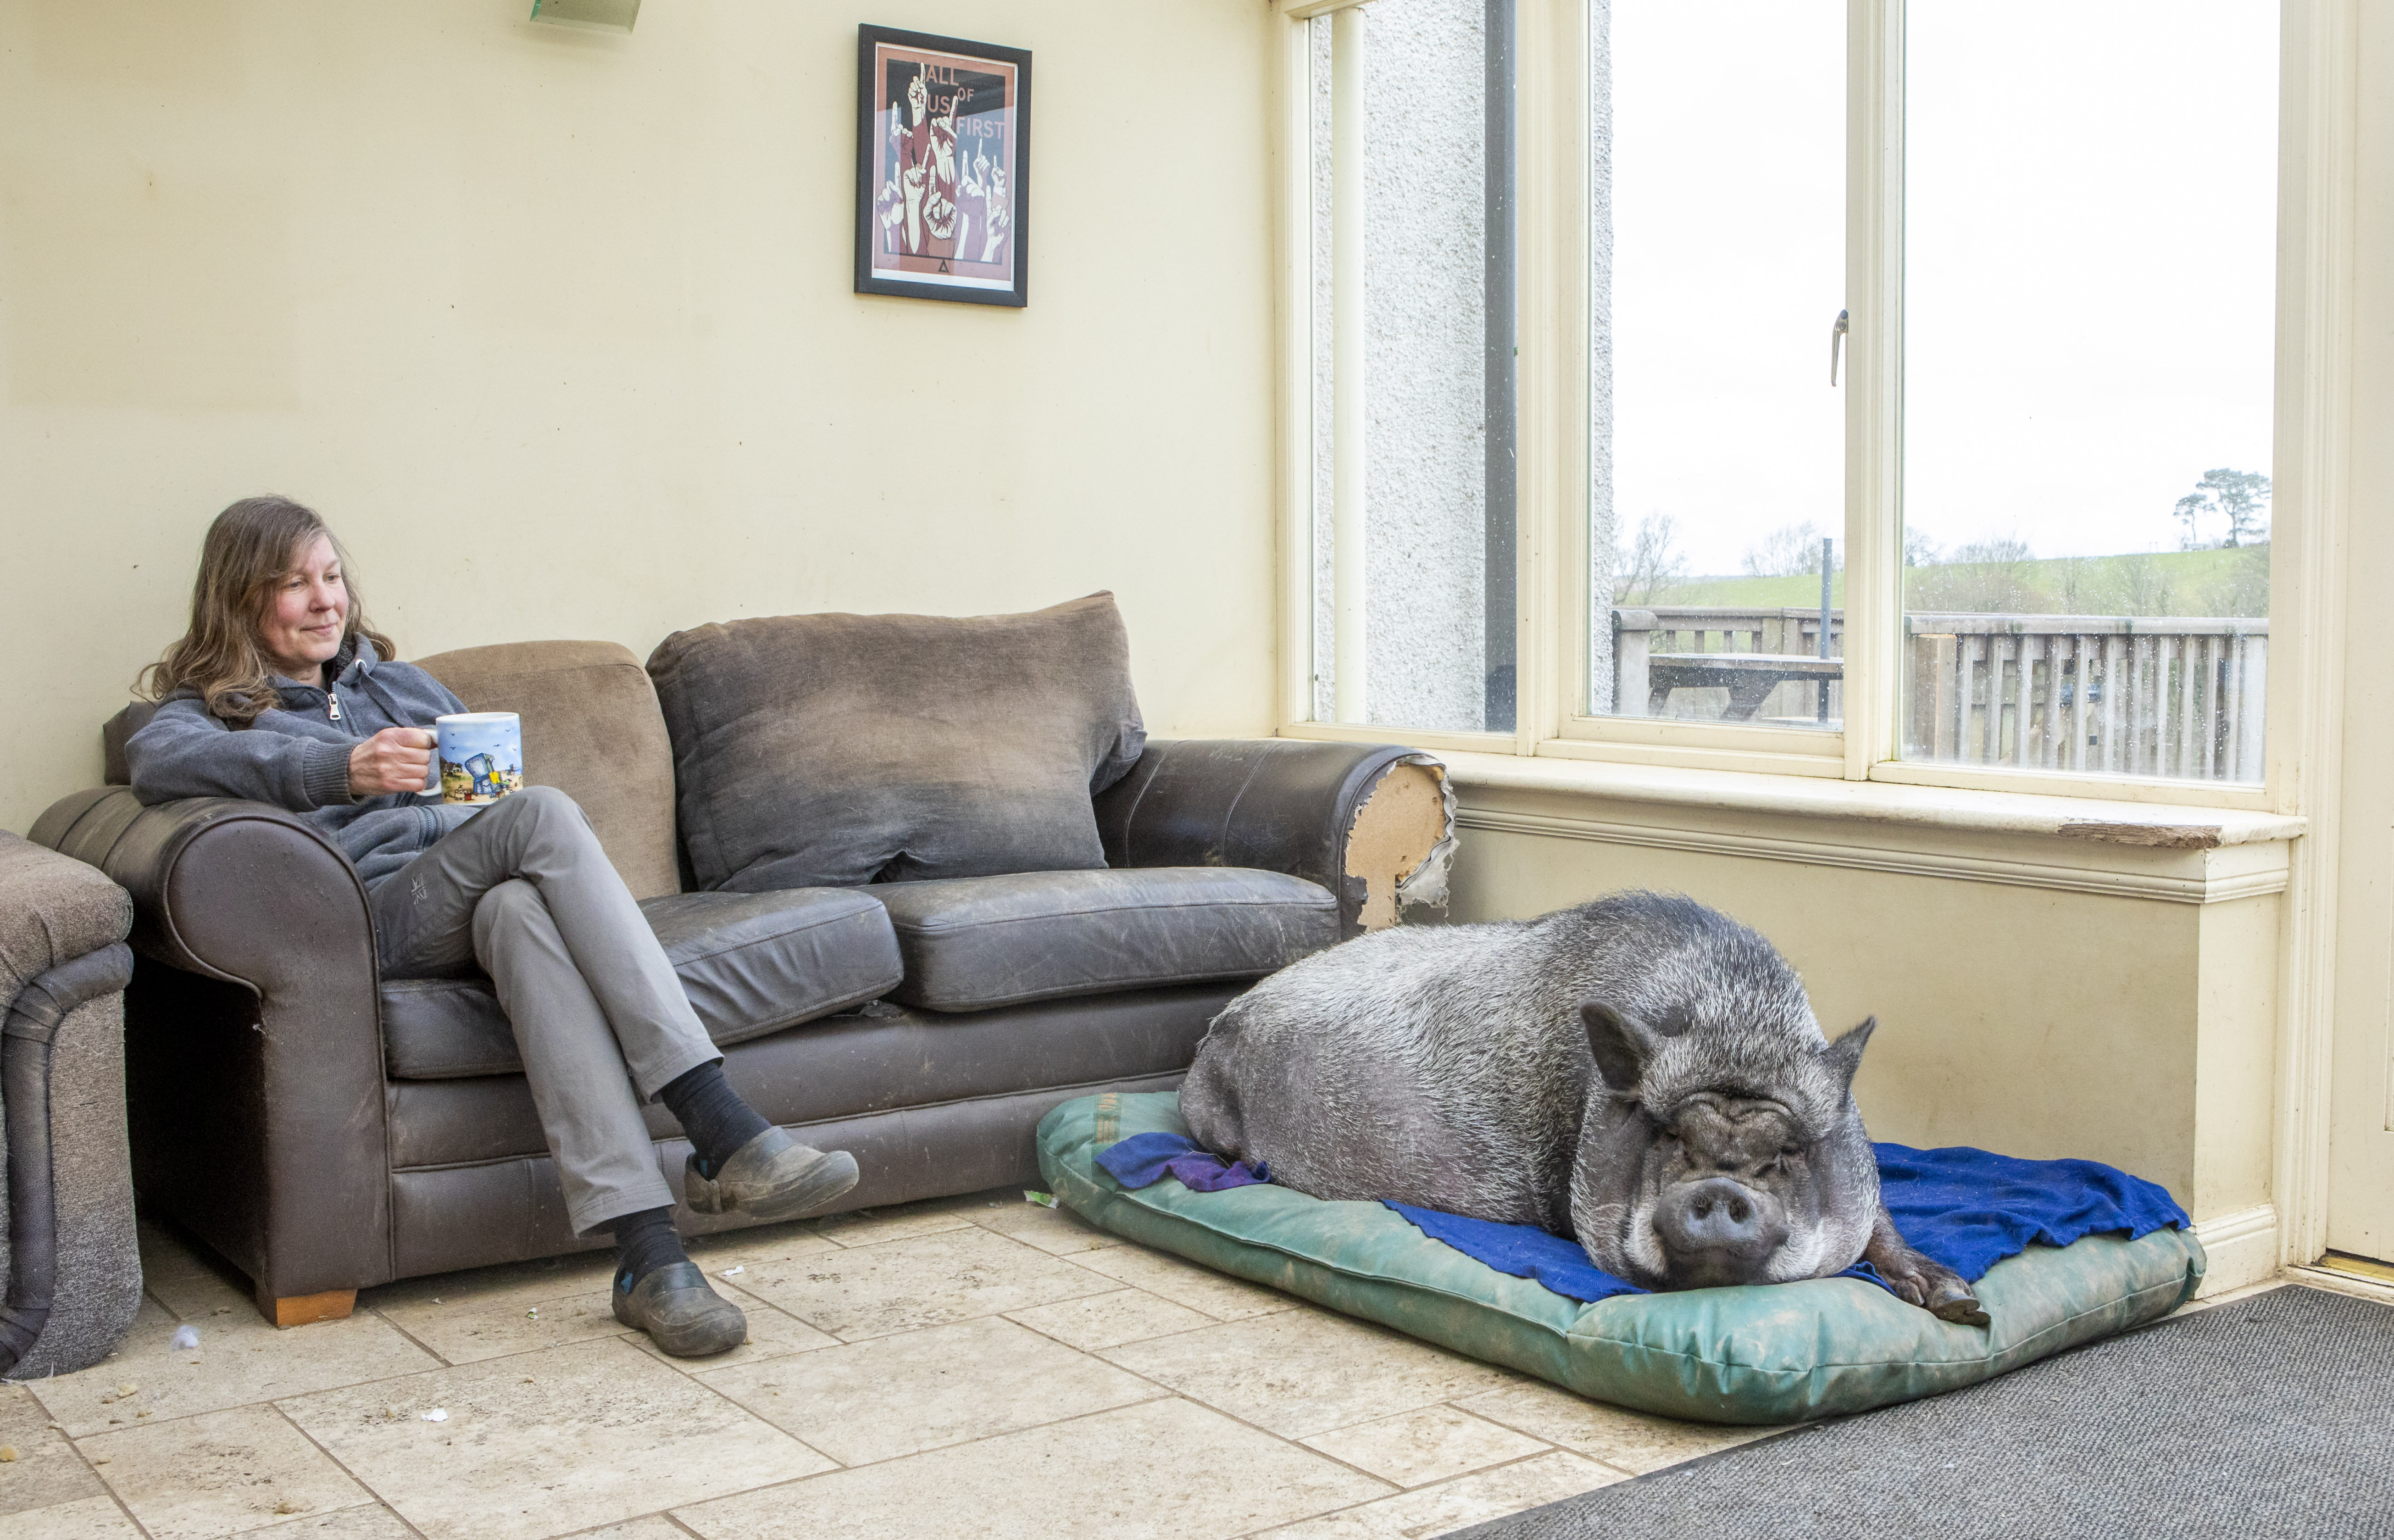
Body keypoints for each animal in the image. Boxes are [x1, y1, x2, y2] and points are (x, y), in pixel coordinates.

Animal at [1178, 891, 1982, 1322]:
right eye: (1665, 1134)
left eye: (1785, 1153)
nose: (1719, 1189)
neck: (1732, 1028)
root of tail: (1216, 1025)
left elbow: (1879, 1225)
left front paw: (1958, 1301)